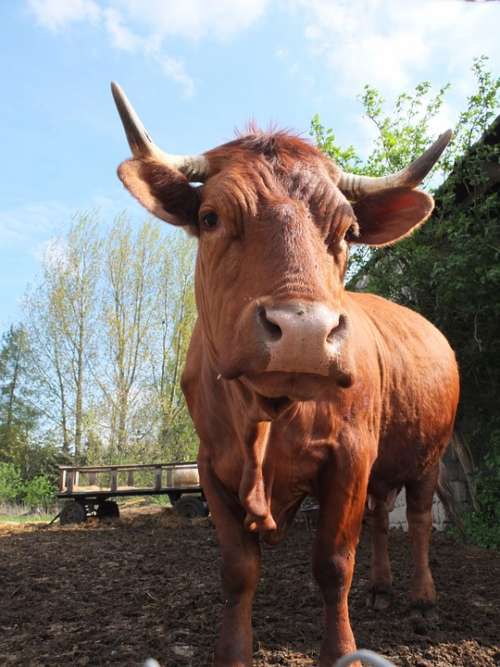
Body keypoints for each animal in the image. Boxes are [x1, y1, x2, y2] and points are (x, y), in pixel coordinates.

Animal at [111, 83, 458, 667]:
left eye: (348, 230)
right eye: (210, 217)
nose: (303, 330)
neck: (263, 419)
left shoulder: (349, 457)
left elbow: (334, 564)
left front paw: (341, 651)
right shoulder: (212, 467)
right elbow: (238, 571)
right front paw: (232, 652)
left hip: (428, 455)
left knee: (416, 521)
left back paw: (423, 599)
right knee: (382, 516)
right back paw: (381, 589)